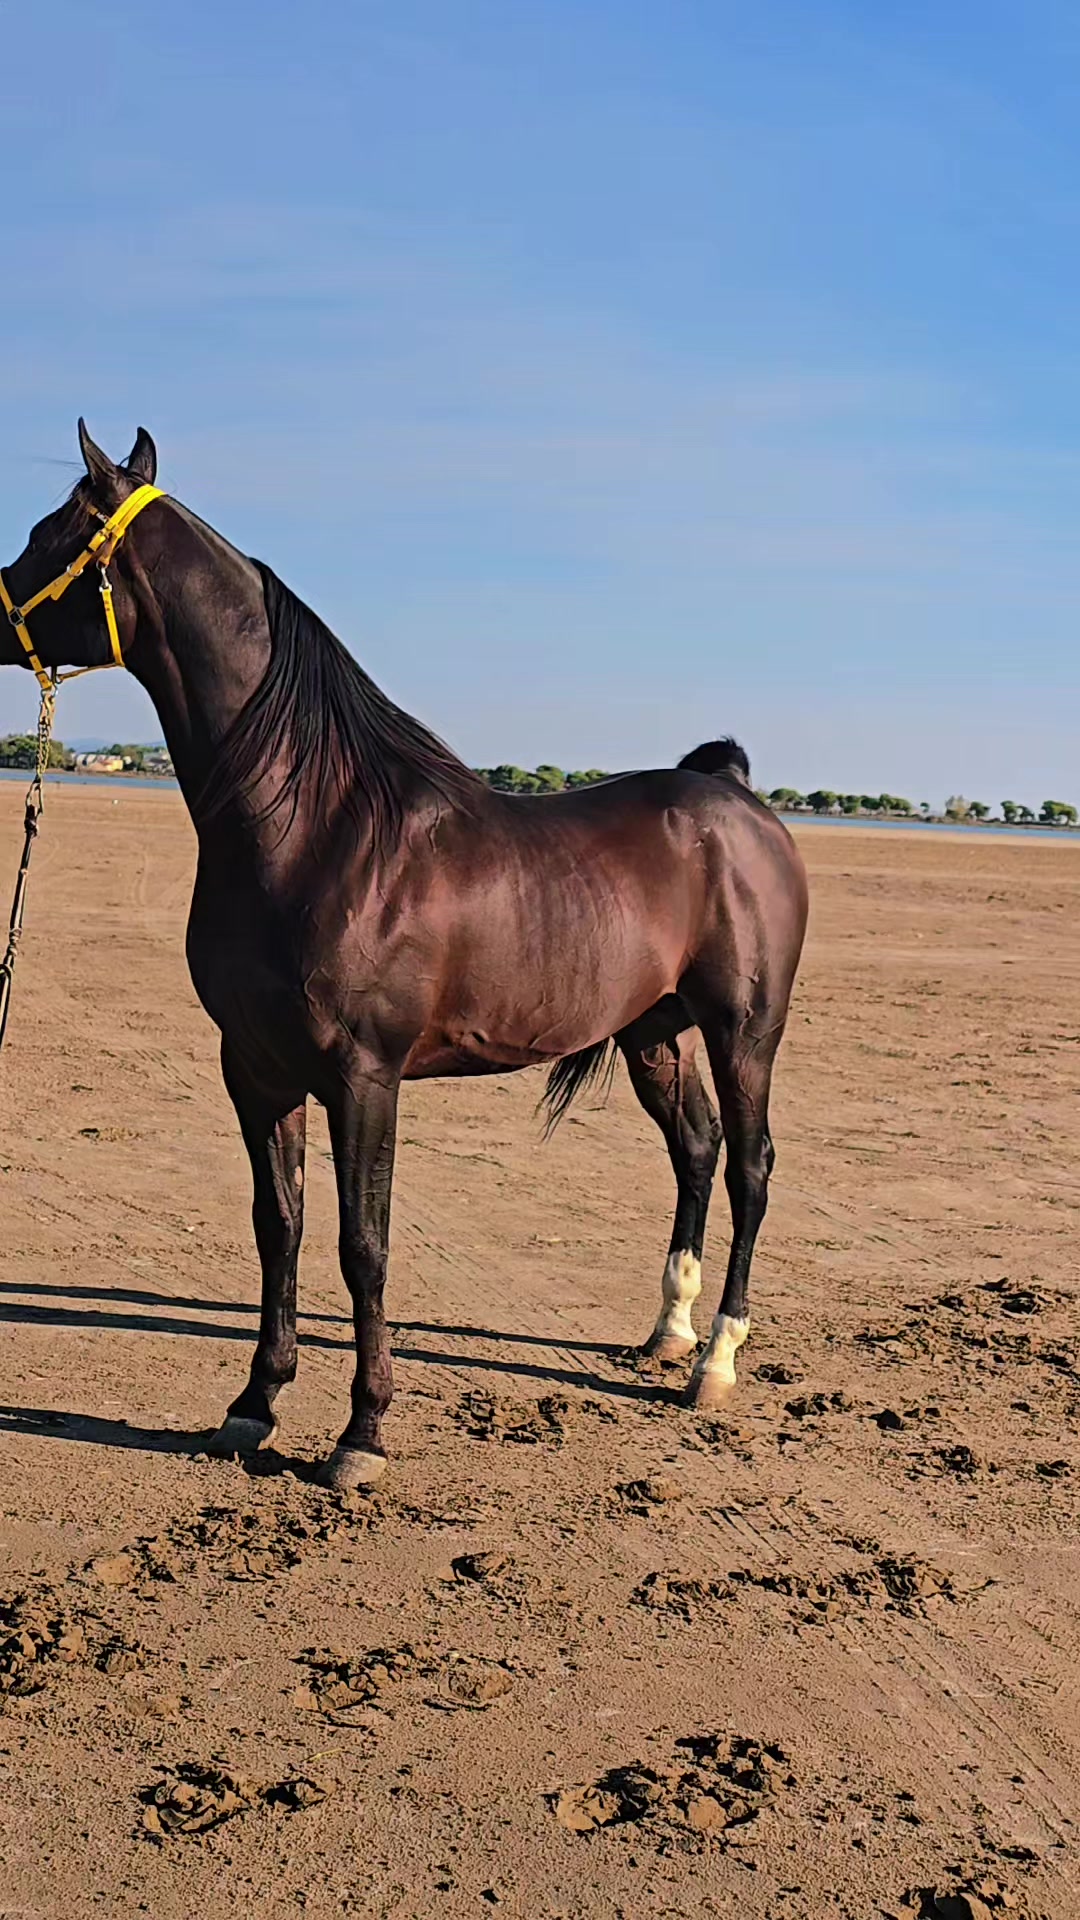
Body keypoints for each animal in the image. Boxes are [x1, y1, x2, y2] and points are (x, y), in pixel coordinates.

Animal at [0, 423, 808, 1488]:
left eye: (46, 534)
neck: (315, 823)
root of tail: (739, 802)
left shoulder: (363, 1075)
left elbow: (364, 1245)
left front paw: (362, 1434)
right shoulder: (256, 1069)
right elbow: (280, 1228)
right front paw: (254, 1405)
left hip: (744, 1030)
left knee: (750, 1165)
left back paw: (714, 1362)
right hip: (654, 1035)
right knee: (698, 1151)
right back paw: (667, 1331)